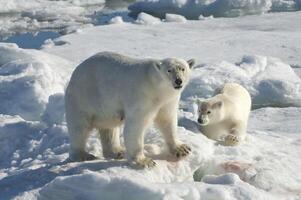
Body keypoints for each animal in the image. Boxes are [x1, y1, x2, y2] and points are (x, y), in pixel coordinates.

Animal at [64, 51, 195, 167]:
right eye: (169, 70)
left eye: (183, 69)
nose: (178, 81)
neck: (156, 88)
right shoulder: (142, 97)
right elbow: (136, 126)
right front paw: (144, 161)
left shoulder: (168, 101)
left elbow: (167, 120)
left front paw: (182, 149)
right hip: (83, 97)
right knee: (79, 127)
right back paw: (83, 155)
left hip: (104, 108)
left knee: (109, 128)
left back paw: (118, 151)